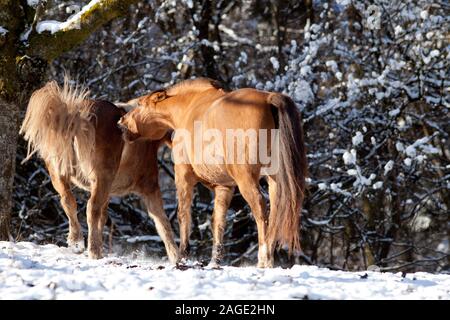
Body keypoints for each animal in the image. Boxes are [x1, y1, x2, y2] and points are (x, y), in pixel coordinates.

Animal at [118, 78, 308, 268]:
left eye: (140, 104)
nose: (121, 121)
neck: (188, 109)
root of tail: (269, 98)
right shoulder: (224, 186)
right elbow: (218, 221)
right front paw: (214, 261)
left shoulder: (183, 176)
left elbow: (183, 215)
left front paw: (183, 256)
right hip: (273, 180)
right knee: (275, 213)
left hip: (247, 180)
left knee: (261, 212)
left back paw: (264, 260)